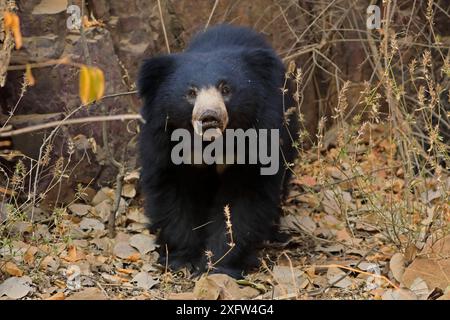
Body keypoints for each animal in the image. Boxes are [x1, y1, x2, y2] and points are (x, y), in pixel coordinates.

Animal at [139, 24, 298, 278]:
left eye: (226, 89)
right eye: (191, 92)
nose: (209, 117)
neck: (211, 144)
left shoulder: (258, 141)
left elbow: (242, 202)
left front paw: (219, 264)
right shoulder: (163, 142)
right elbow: (172, 195)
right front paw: (183, 259)